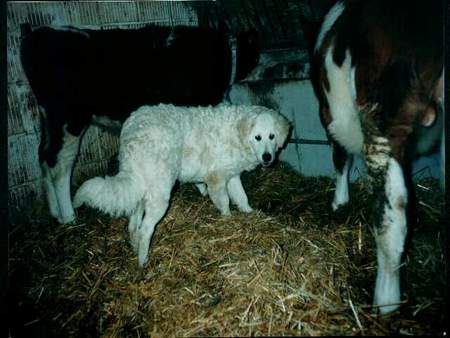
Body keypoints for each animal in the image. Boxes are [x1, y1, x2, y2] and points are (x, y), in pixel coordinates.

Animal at [21, 24, 260, 224]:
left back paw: (56, 213)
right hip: (69, 119)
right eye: (257, 55)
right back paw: (69, 215)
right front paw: (201, 185)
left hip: (48, 120)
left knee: (44, 156)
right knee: (60, 163)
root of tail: (40, 33)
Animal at [74, 101, 292, 266]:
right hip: (160, 194)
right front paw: (228, 220)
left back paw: (135, 248)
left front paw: (250, 214)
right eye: (258, 137)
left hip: (141, 188)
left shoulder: (232, 176)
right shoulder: (217, 179)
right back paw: (143, 262)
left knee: (133, 223)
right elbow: (224, 203)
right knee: (145, 229)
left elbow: (242, 197)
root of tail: (133, 130)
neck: (237, 133)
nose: (267, 157)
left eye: (272, 136)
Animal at [312, 0, 444, 314]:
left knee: (391, 210)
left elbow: (339, 158)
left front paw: (339, 203)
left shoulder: (328, 114)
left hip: (382, 119)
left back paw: (386, 302)